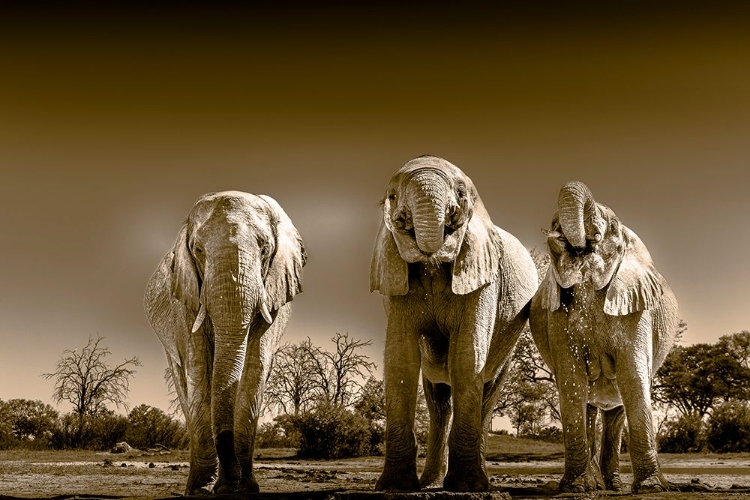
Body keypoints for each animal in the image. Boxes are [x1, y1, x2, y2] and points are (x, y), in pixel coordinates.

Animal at [144, 189, 306, 494]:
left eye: (265, 249)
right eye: (197, 250)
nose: (229, 484)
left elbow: (254, 371)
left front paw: (242, 490)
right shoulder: (185, 300)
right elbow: (198, 369)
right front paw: (202, 491)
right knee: (184, 382)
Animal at [372, 156, 540, 492]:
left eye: (461, 193)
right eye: (392, 196)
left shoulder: (484, 275)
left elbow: (467, 354)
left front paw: (466, 487)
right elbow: (400, 357)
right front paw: (395, 487)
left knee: (487, 390)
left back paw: (479, 482)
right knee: (438, 400)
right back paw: (429, 483)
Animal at [528, 180, 680, 492]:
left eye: (612, 225)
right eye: (553, 225)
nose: (560, 233)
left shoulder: (637, 308)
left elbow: (632, 375)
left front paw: (651, 488)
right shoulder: (556, 316)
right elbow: (571, 379)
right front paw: (576, 488)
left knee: (617, 408)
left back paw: (614, 486)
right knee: (588, 404)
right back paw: (596, 484)